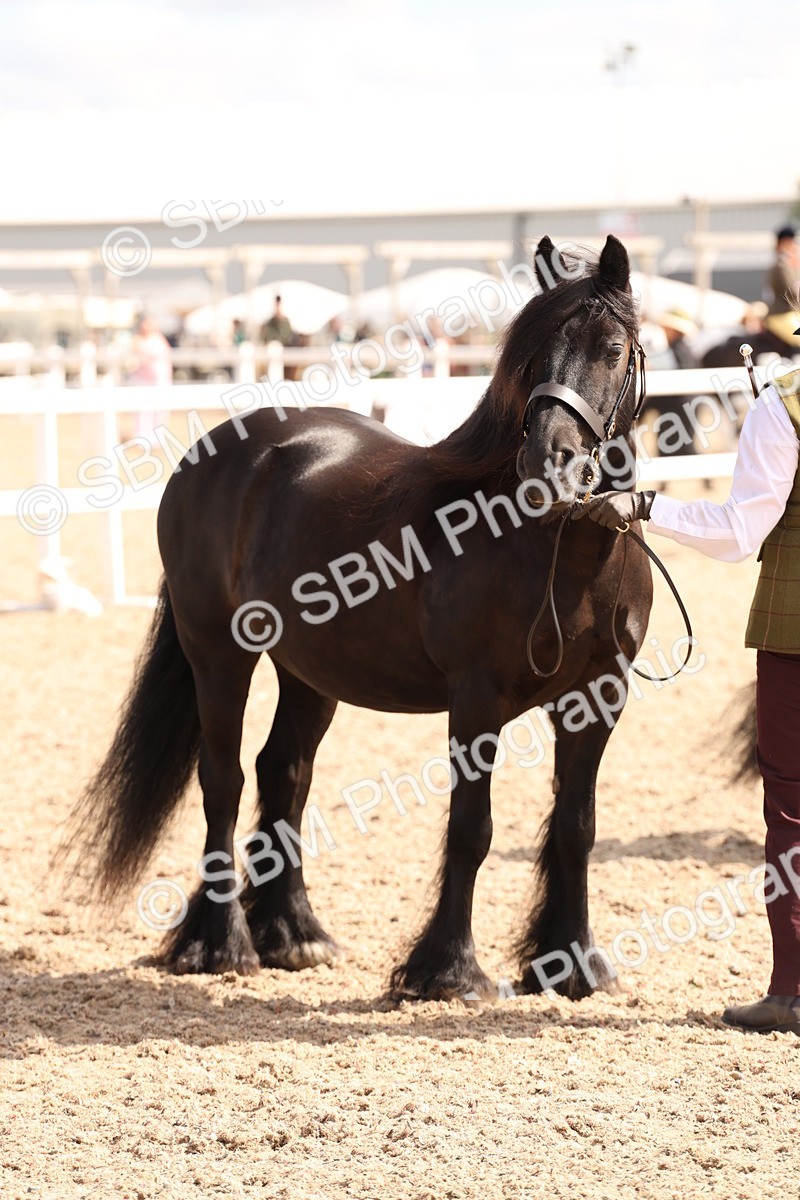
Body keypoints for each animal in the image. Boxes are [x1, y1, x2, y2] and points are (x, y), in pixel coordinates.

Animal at [69, 234, 652, 1002]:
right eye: (529, 357)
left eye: (612, 350)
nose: (548, 463)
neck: (567, 551)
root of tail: (216, 451)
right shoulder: (477, 699)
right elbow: (472, 828)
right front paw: (448, 970)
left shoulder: (598, 698)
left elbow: (576, 827)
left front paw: (572, 963)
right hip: (217, 653)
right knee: (223, 779)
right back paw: (220, 944)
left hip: (309, 670)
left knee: (283, 772)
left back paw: (293, 934)